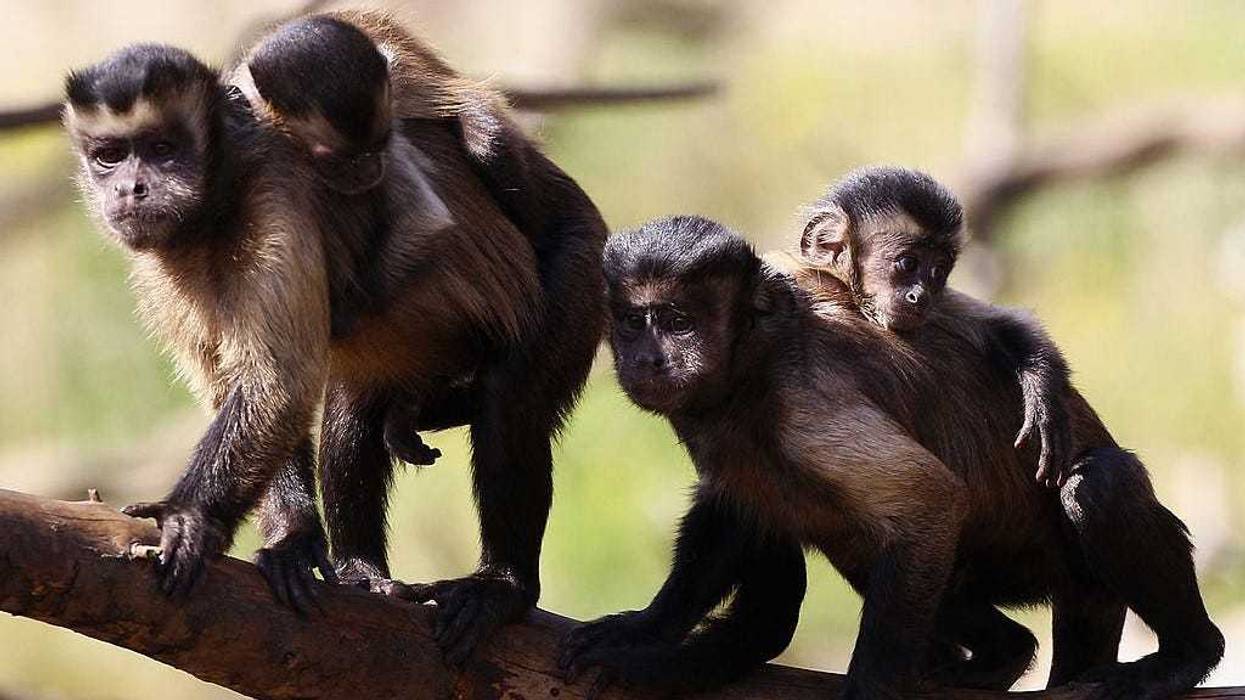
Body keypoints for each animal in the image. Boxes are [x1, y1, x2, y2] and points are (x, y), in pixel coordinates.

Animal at [66, 18, 608, 663]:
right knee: (354, 415)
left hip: (581, 276)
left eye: (163, 150)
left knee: (510, 401)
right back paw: (360, 568)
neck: (218, 201)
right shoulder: (159, 265)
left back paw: (505, 586)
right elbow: (247, 388)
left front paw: (190, 518)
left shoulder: (275, 203)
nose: (130, 189)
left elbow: (280, 385)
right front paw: (293, 541)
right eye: (109, 157)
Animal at [559, 215, 1222, 699]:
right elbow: (732, 508)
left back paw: (1189, 654)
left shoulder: (806, 406)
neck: (754, 363)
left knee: (1097, 486)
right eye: (631, 322)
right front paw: (648, 628)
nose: (647, 358)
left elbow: (931, 501)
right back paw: (1002, 653)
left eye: (676, 321)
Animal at [795, 165, 1073, 488]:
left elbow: (1003, 323)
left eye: (938, 271)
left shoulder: (940, 305)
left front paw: (1044, 398)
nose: (920, 295)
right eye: (907, 263)